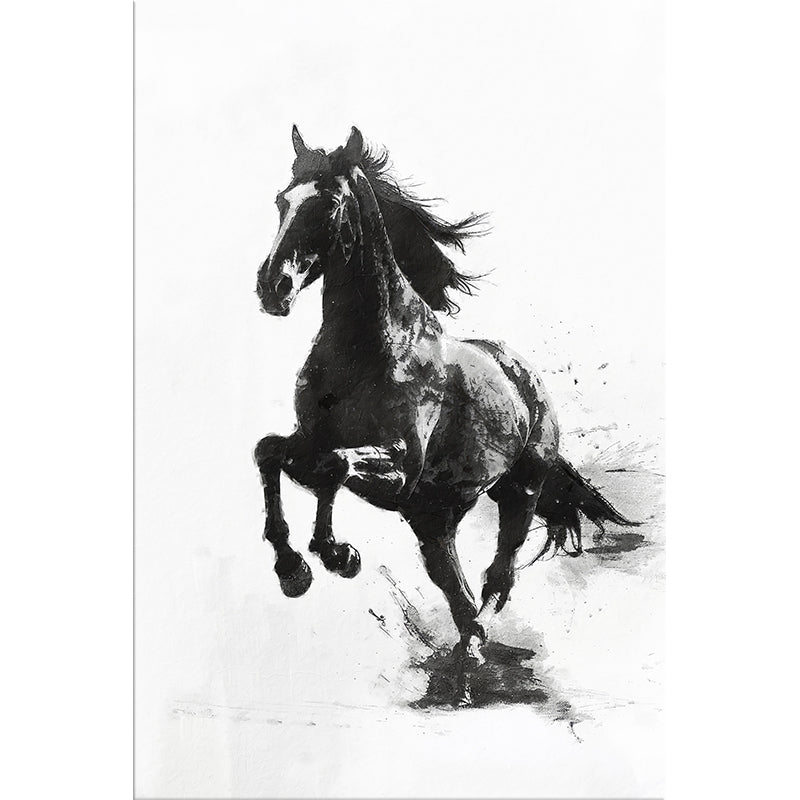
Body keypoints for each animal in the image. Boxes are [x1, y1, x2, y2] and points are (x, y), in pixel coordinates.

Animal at [254, 126, 637, 705]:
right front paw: (293, 567)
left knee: (499, 570)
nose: (271, 287)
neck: (367, 351)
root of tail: (524, 375)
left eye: (332, 204)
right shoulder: (311, 439)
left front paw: (335, 555)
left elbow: (334, 467)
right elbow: (275, 453)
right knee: (454, 588)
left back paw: (477, 645)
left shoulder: (401, 467)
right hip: (433, 515)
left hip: (515, 491)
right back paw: (465, 655)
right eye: (282, 200)